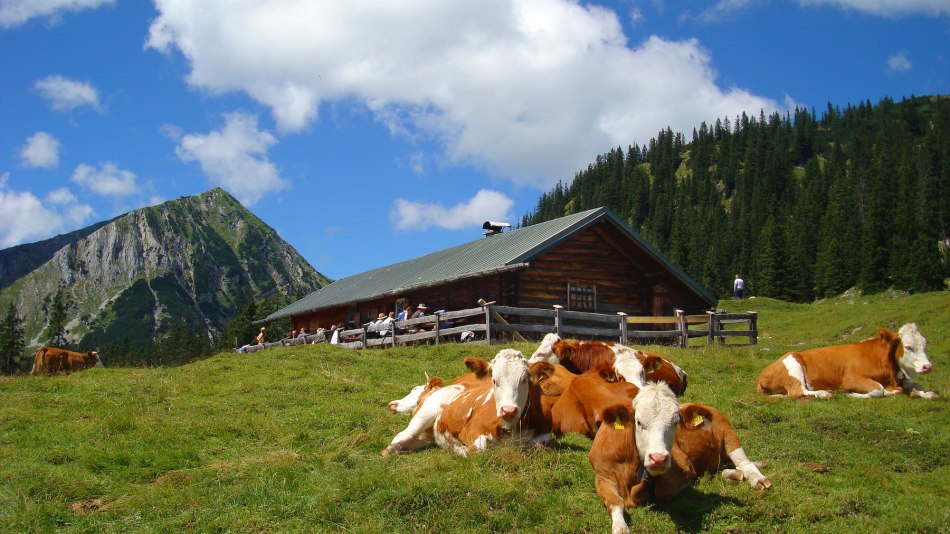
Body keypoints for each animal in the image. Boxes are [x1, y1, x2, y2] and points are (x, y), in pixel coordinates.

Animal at [588, 388, 772, 532]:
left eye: (675, 423)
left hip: (729, 434)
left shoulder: (684, 467)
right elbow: (615, 502)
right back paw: (734, 474)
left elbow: (663, 491)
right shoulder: (602, 476)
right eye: (638, 422)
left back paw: (758, 479)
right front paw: (620, 527)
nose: (659, 458)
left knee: (744, 462)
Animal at [760, 324, 936, 400]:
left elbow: (917, 386)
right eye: (908, 346)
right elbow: (878, 390)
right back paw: (824, 393)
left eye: (925, 344)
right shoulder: (851, 379)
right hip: (793, 365)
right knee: (798, 391)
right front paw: (853, 394)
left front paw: (925, 393)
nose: (927, 367)